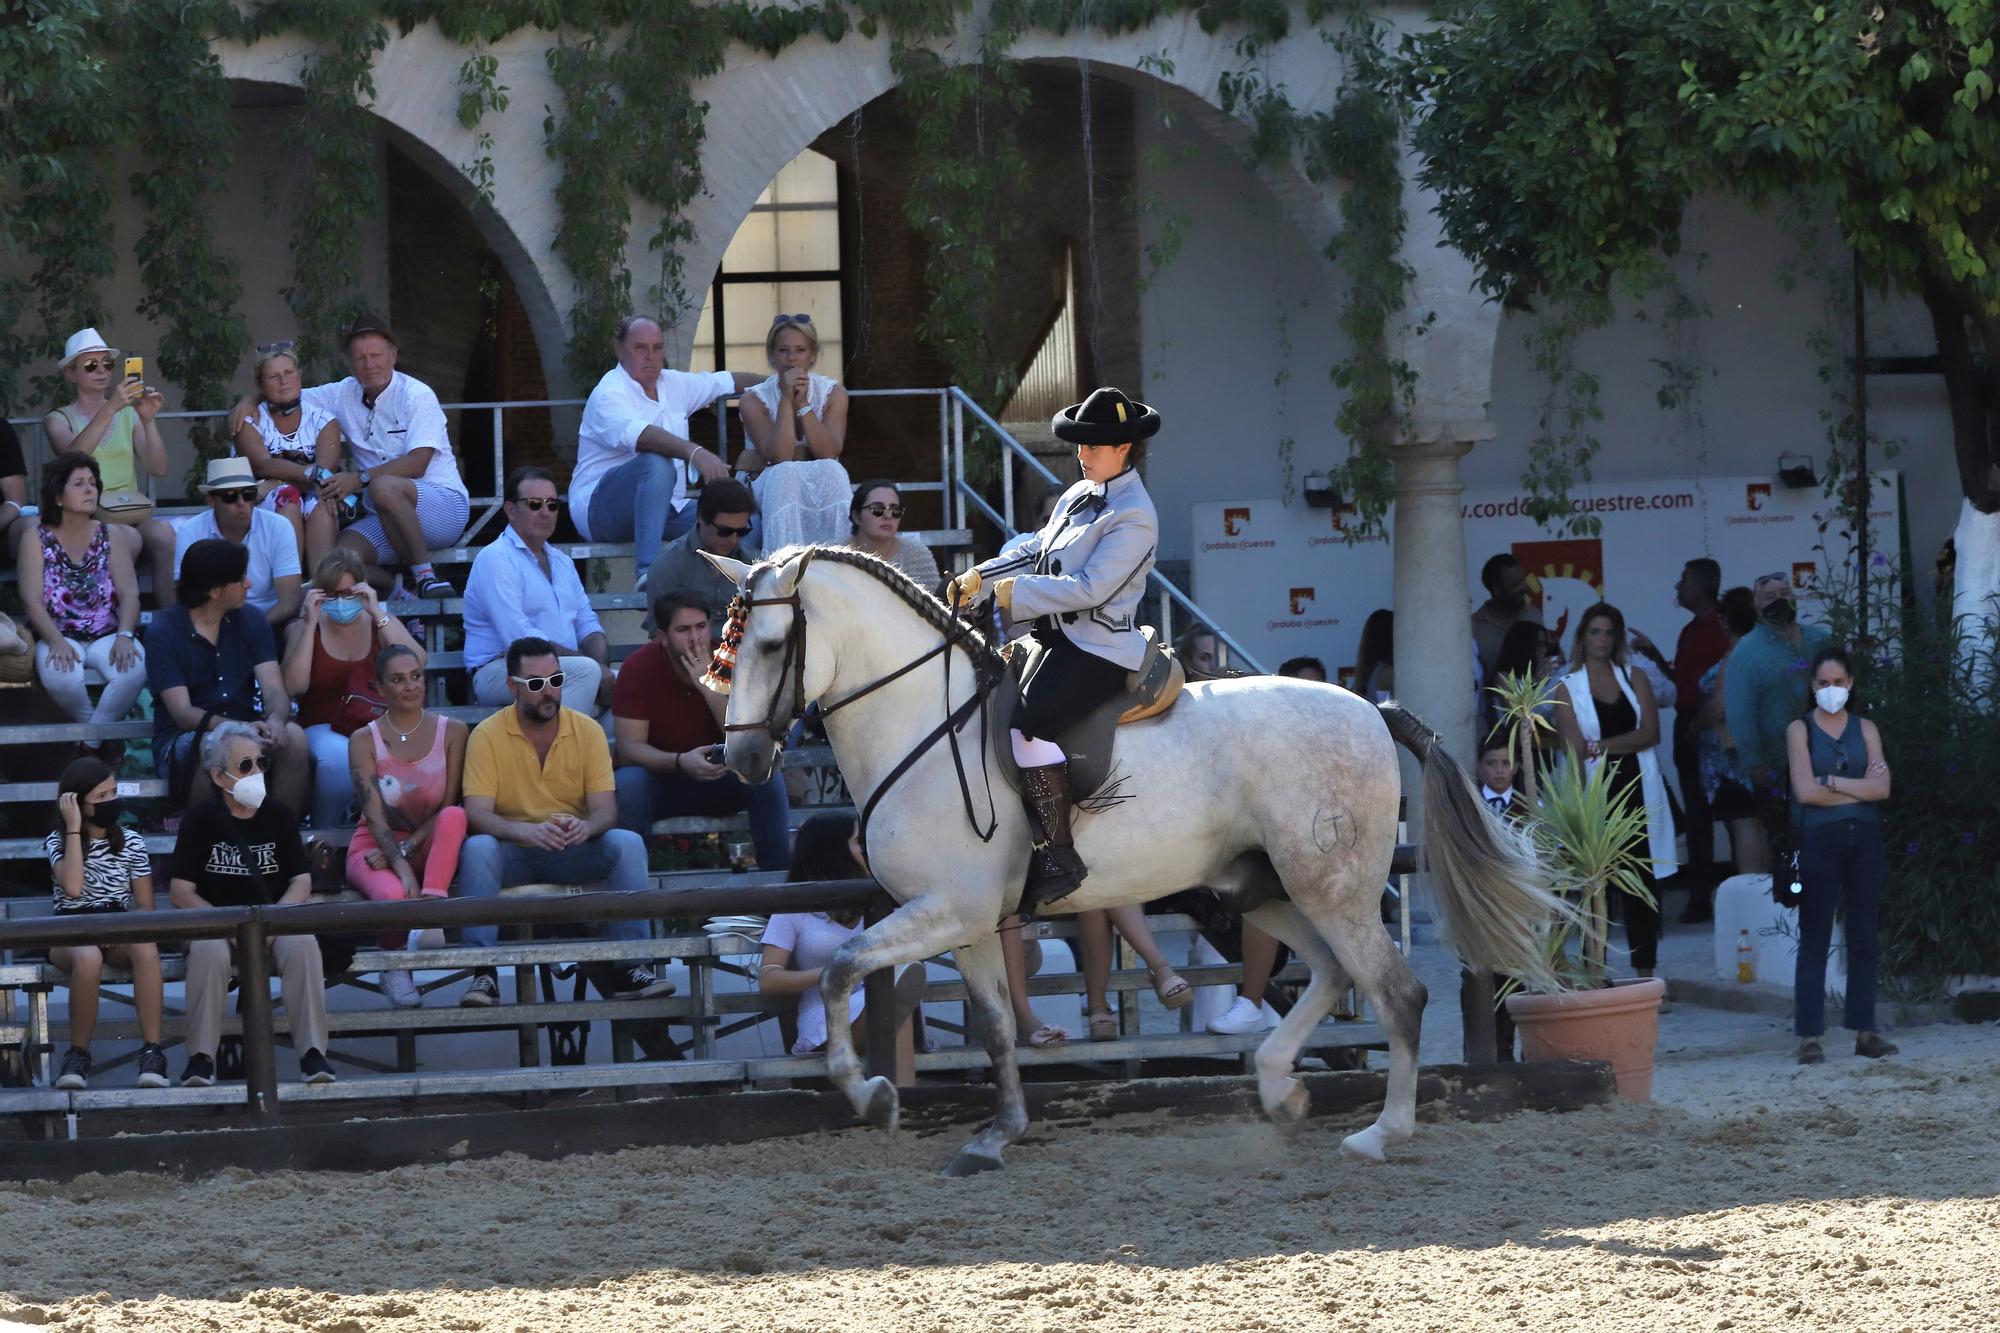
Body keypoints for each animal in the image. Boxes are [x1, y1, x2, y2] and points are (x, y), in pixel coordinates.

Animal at [700, 544, 1560, 1168]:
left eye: (771, 644)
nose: (739, 759)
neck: (925, 720)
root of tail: (1372, 711)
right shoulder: (967, 920)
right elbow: (996, 1026)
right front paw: (999, 1132)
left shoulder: (945, 908)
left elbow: (841, 968)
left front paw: (872, 1095)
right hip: (1265, 888)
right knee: (1330, 973)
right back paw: (1279, 1085)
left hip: (1333, 887)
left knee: (1397, 992)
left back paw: (1383, 1132)